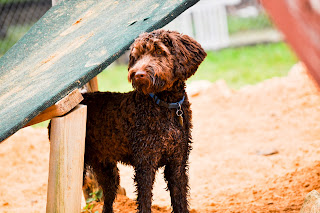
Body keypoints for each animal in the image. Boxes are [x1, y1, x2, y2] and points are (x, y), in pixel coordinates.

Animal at [81, 29, 206, 213]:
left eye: (159, 51)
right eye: (137, 55)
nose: (138, 74)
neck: (165, 104)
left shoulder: (177, 163)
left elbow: (180, 200)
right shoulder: (145, 164)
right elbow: (145, 201)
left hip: (107, 169)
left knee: (108, 199)